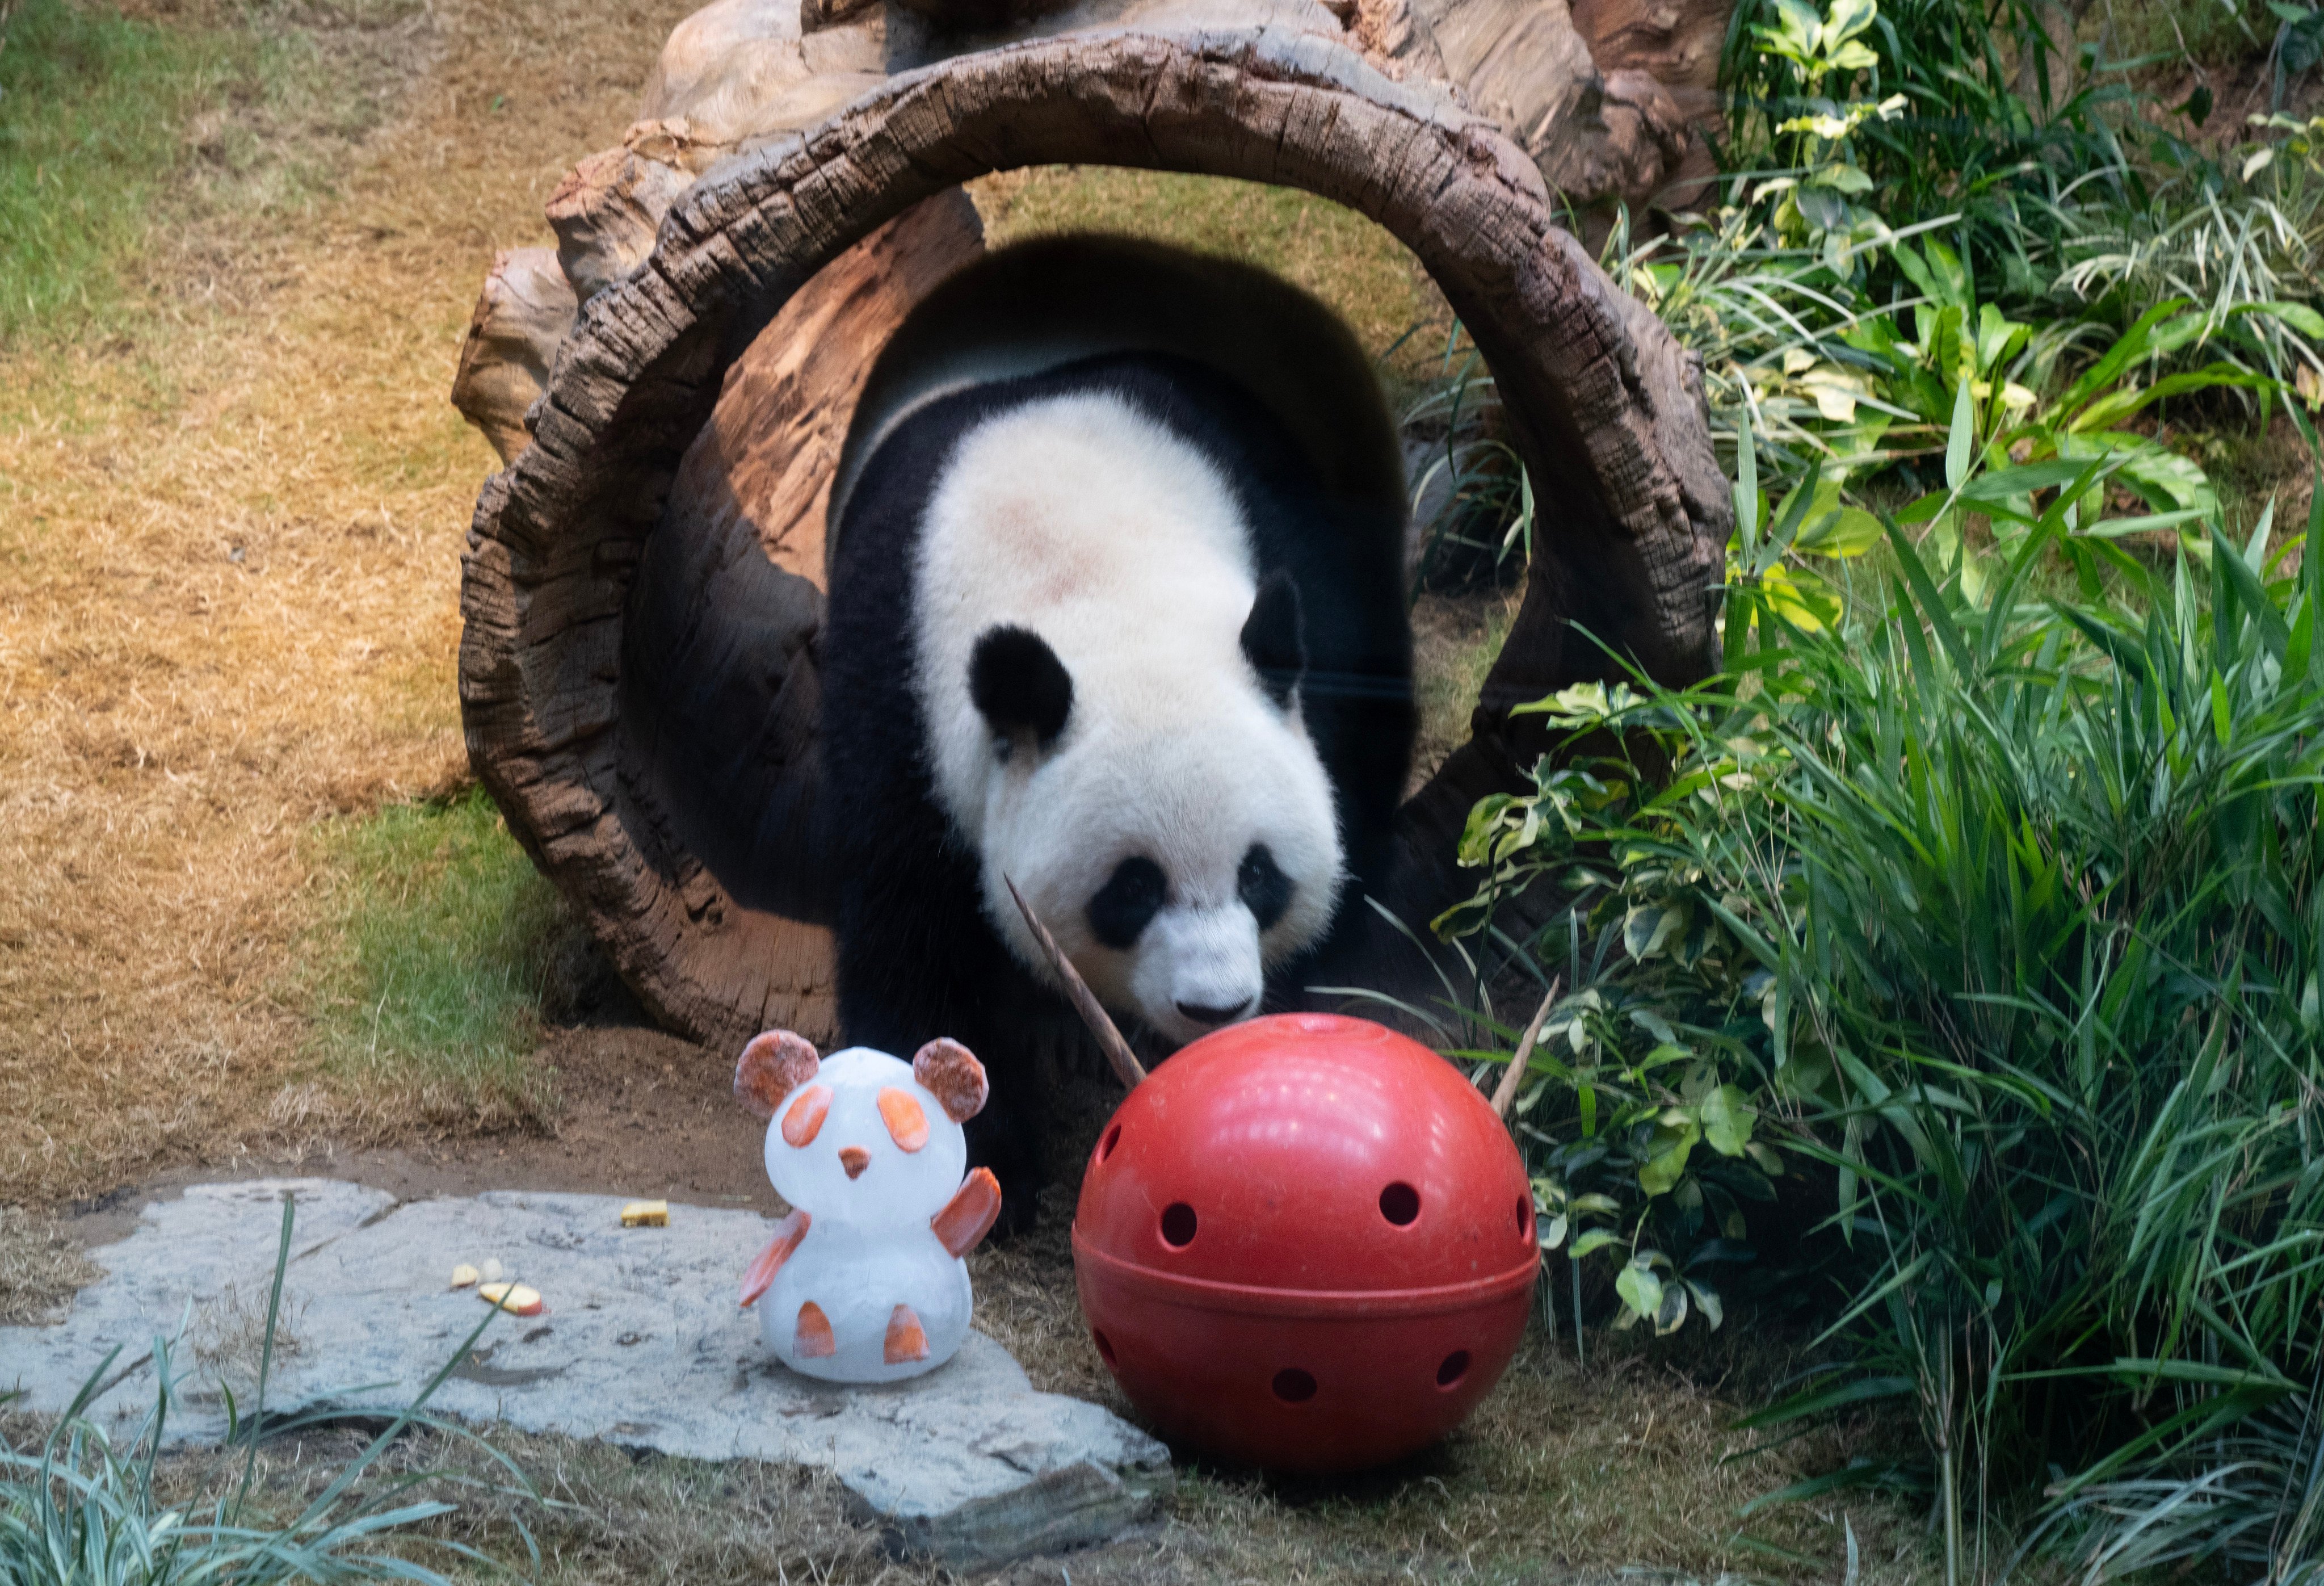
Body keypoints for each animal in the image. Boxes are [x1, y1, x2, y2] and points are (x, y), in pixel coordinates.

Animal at [837, 234, 1413, 1218]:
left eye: (1258, 874)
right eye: (1131, 888)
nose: (1215, 1006)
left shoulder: (1291, 562)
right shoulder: (896, 673)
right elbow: (904, 922)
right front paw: (984, 1163)